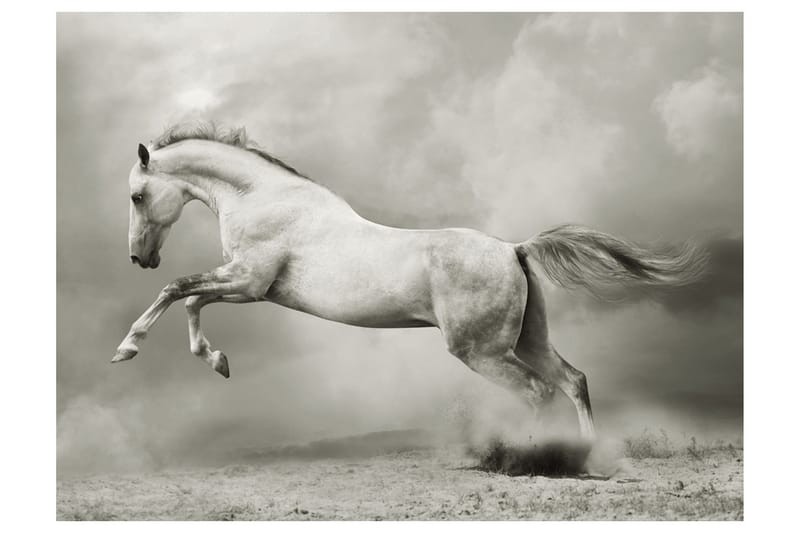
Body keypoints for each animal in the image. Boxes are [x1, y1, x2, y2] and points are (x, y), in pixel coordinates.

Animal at [113, 121, 707, 441]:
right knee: (573, 381)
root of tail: (513, 249)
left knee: (538, 392)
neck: (264, 198)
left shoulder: (249, 283)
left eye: (138, 196)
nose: (139, 258)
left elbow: (178, 292)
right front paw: (218, 361)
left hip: (482, 351)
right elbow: (190, 302)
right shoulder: (244, 286)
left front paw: (127, 349)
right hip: (527, 339)